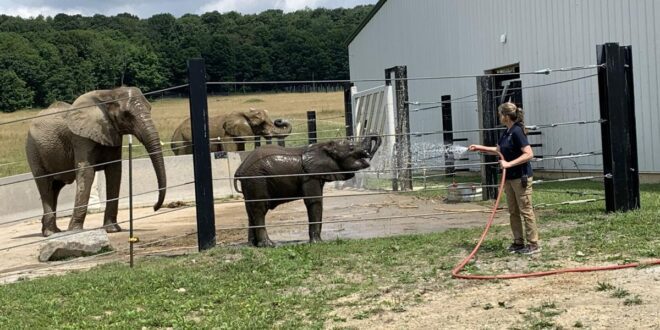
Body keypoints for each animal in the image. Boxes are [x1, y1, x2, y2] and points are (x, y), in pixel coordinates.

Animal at [27, 87, 168, 237]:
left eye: (150, 108)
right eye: (126, 115)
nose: (154, 207)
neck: (108, 94)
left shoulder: (113, 135)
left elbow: (115, 172)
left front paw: (112, 229)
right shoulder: (80, 138)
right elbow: (87, 172)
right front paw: (76, 231)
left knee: (55, 187)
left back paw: (53, 231)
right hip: (33, 149)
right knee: (45, 186)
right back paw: (50, 233)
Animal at [233, 134, 382, 248]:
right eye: (351, 148)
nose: (368, 154)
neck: (323, 146)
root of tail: (240, 169)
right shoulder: (309, 176)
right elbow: (314, 201)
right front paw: (318, 243)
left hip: (250, 183)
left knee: (250, 210)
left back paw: (253, 245)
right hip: (257, 179)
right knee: (260, 208)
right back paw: (269, 245)